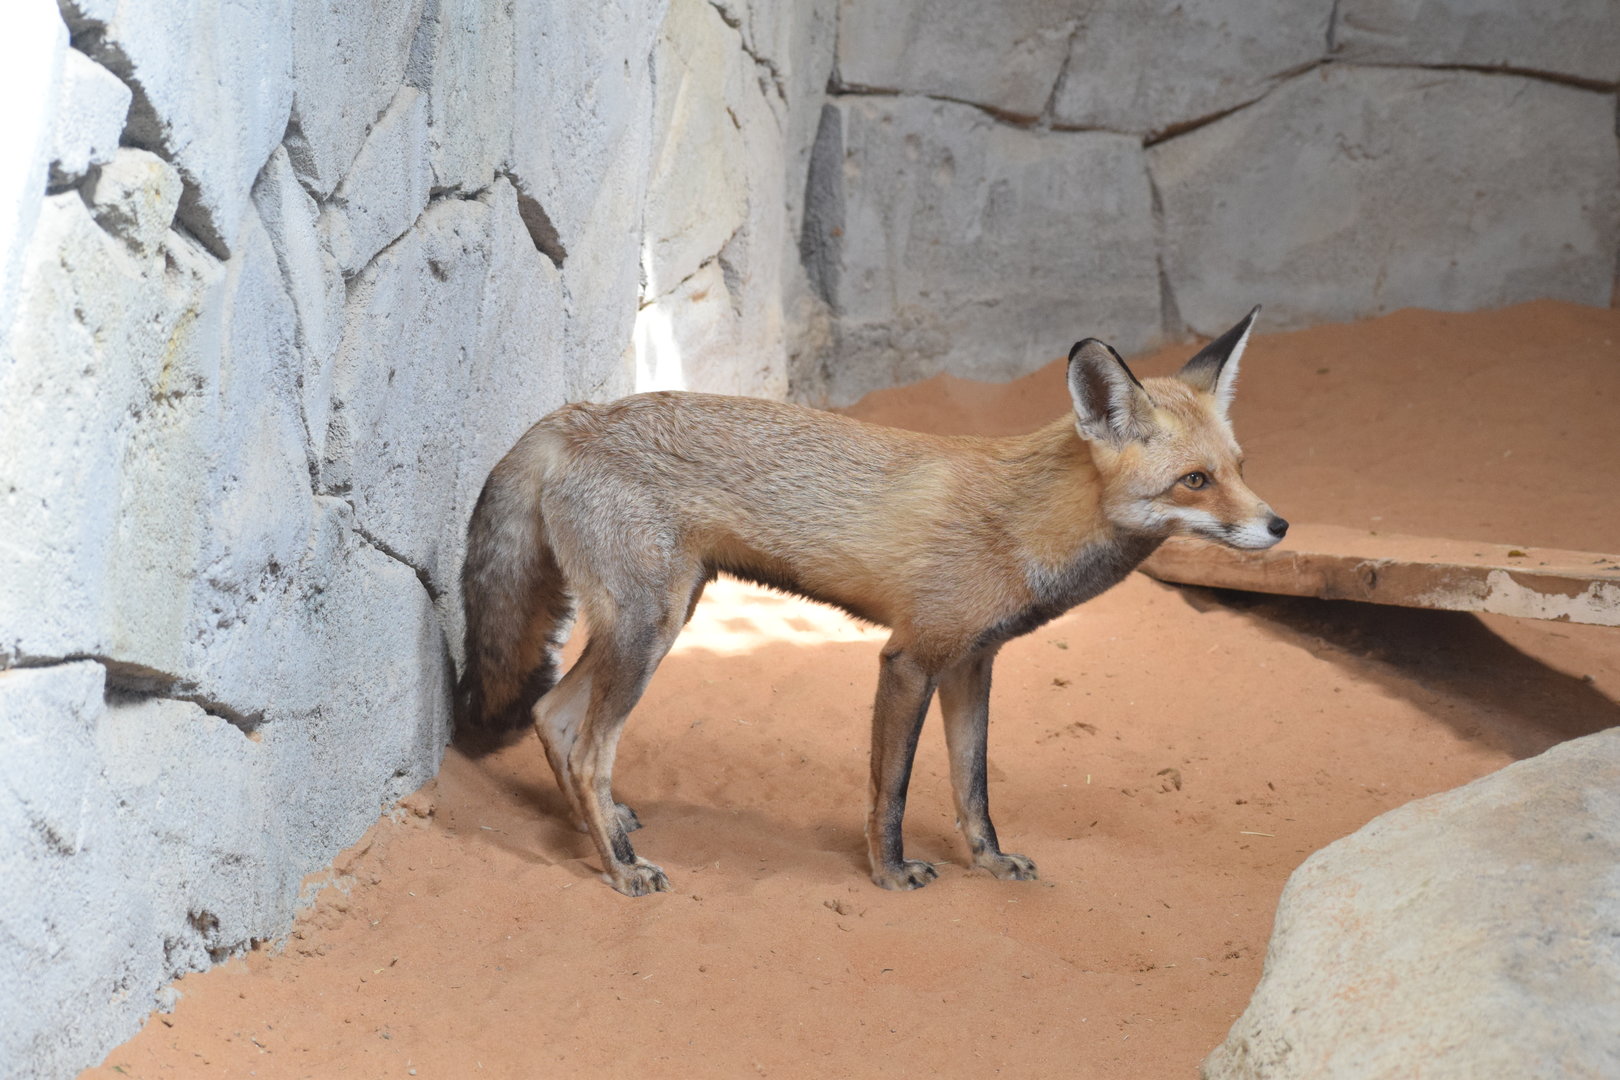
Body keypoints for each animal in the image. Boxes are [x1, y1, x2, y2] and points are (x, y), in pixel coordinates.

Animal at [457, 307, 1287, 896]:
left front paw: (990, 863)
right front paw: (889, 872)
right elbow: (891, 790)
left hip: (659, 616)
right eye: (1195, 481)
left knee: (553, 716)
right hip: (649, 629)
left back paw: (597, 834)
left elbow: (973, 787)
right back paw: (621, 867)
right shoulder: (910, 659)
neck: (1025, 522)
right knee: (587, 747)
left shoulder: (973, 664)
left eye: (1241, 468)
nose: (1279, 526)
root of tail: (574, 417)